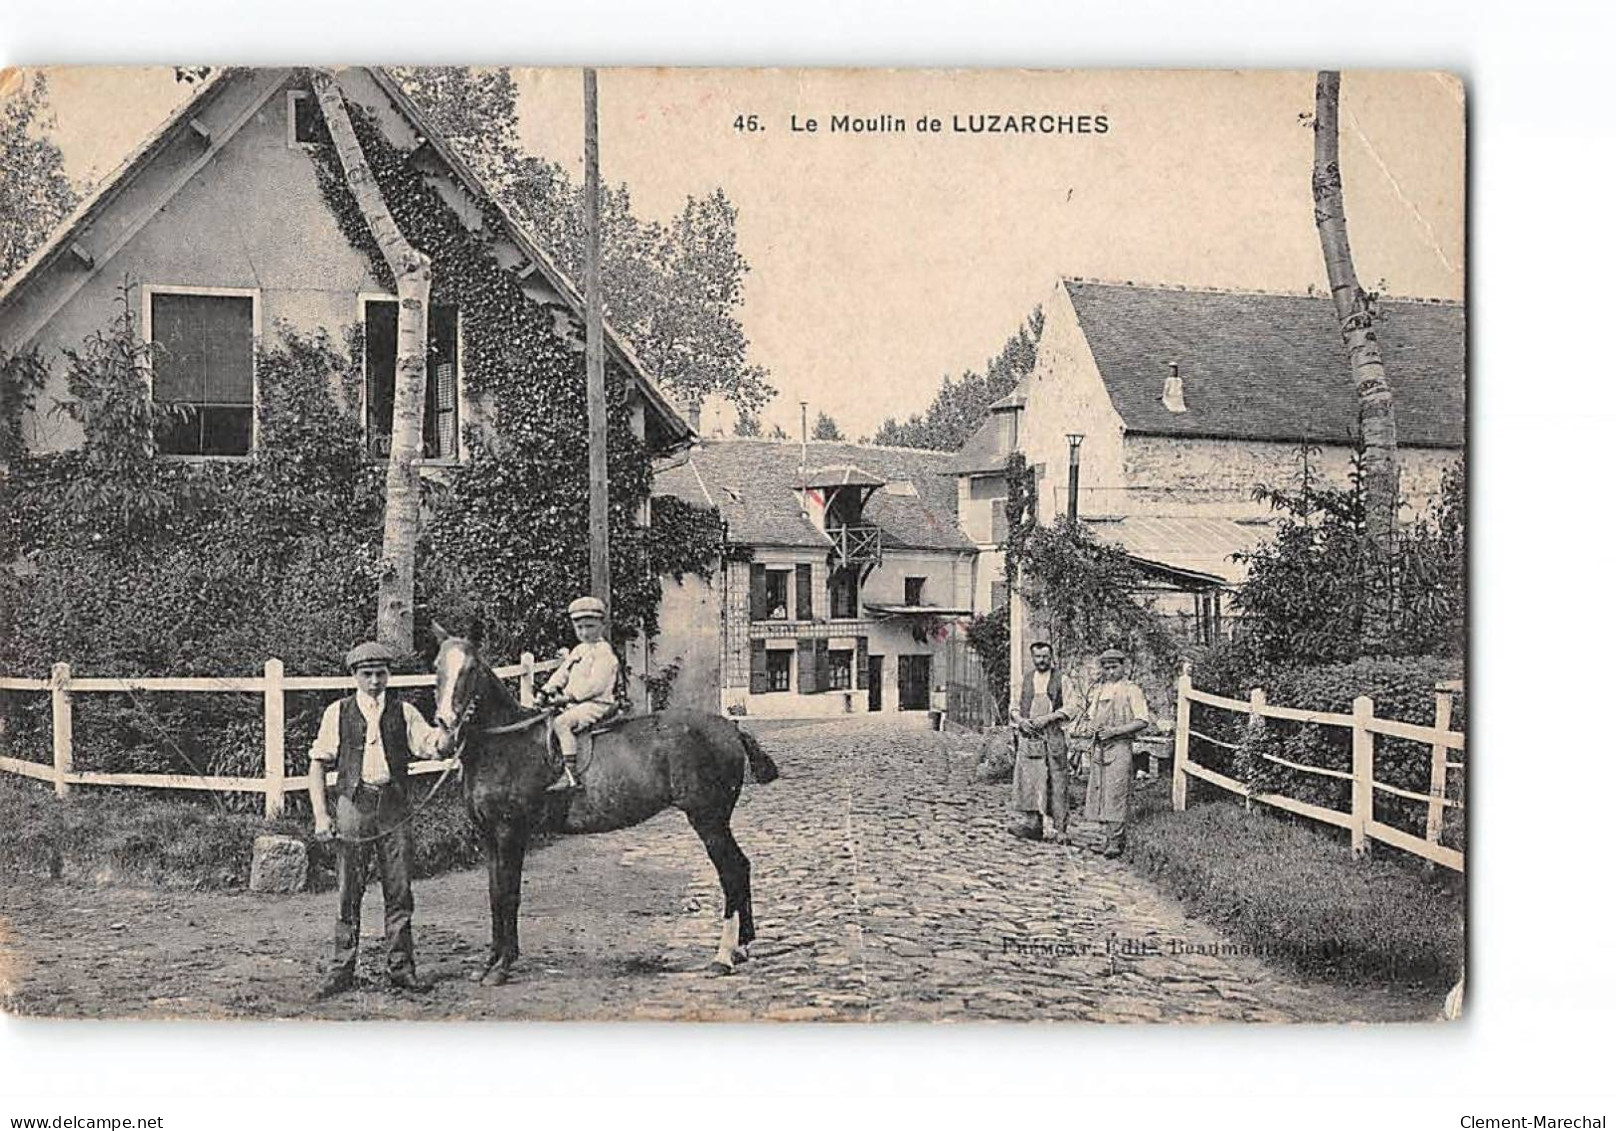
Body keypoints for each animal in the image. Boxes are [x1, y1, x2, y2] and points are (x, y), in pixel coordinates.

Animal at [429, 623, 782, 982]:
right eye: (437, 667)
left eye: (471, 669)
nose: (444, 729)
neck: (504, 744)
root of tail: (730, 729)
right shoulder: (489, 836)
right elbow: (493, 894)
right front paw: (490, 961)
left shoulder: (510, 832)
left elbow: (508, 894)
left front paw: (503, 965)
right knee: (742, 866)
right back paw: (742, 946)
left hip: (708, 819)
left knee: (731, 871)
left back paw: (724, 955)